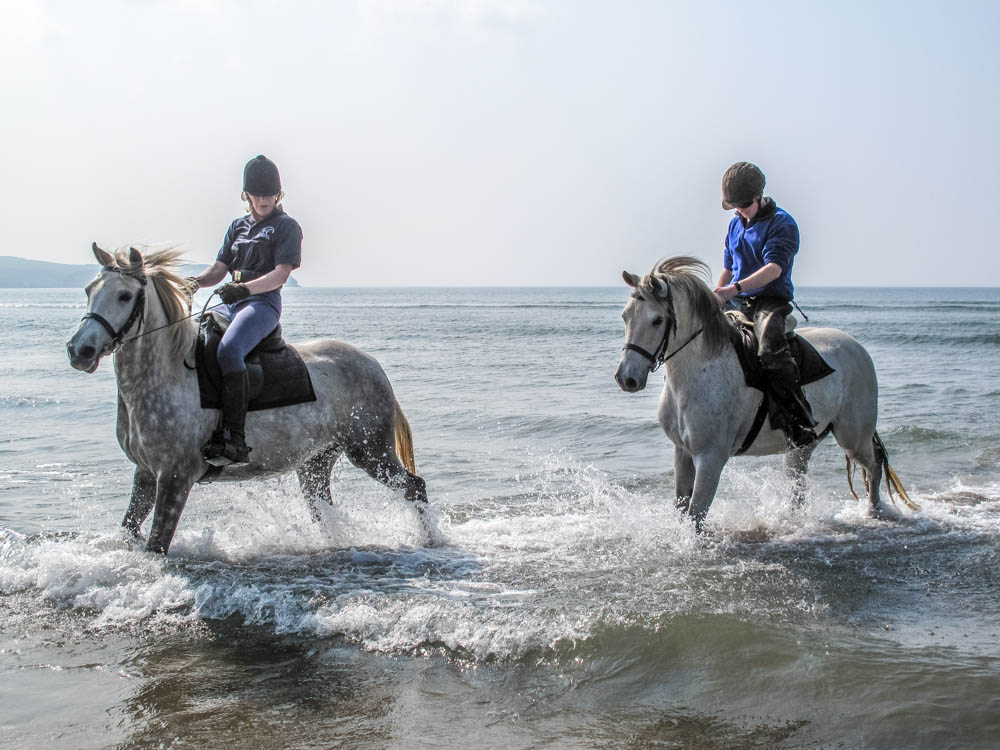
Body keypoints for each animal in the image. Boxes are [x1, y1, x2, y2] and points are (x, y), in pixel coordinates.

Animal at [65, 244, 434, 556]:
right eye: (89, 291)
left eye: (125, 295)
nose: (79, 350)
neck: (167, 373)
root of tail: (372, 365)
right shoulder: (145, 473)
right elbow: (129, 527)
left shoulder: (175, 477)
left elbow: (157, 545)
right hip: (317, 462)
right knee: (322, 507)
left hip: (370, 449)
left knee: (414, 487)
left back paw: (431, 540)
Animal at [608, 256, 916, 532]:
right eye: (625, 316)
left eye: (657, 320)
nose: (627, 379)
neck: (699, 371)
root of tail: (857, 348)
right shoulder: (682, 452)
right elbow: (682, 508)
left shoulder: (710, 458)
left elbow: (696, 515)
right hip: (803, 444)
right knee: (798, 482)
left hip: (853, 436)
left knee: (874, 466)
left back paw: (874, 512)